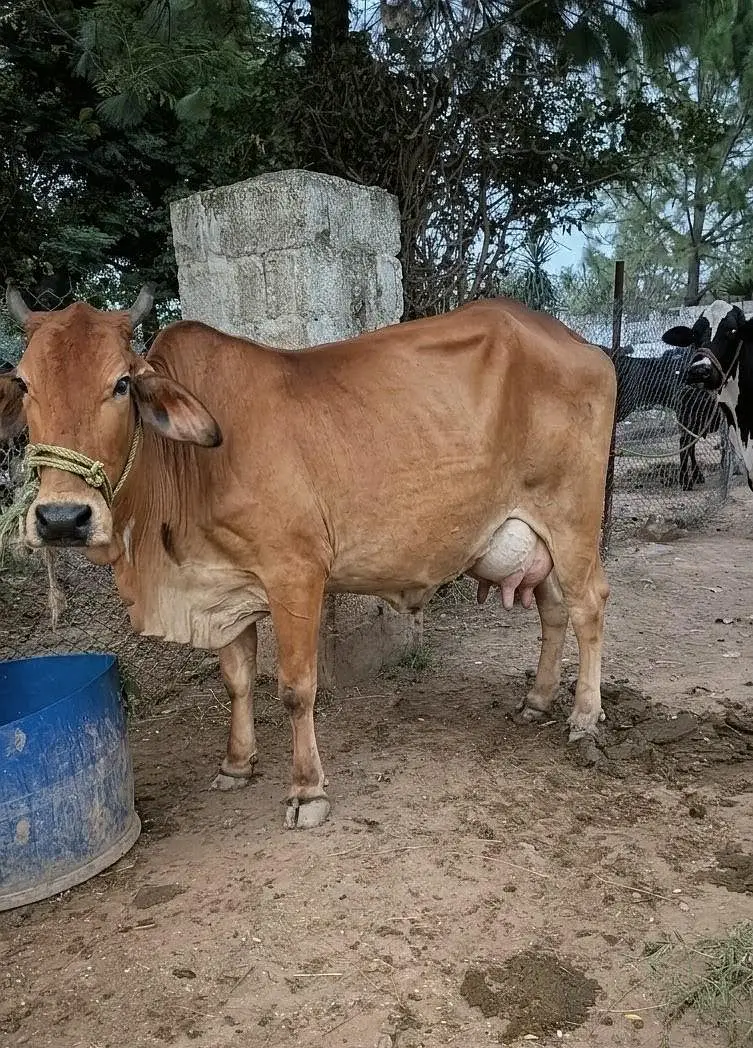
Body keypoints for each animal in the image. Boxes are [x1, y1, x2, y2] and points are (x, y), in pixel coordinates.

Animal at [0, 285, 616, 829]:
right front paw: (236, 764)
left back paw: (584, 721)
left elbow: (296, 688)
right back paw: (537, 700)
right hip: (538, 537)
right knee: (553, 609)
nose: (62, 518)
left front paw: (306, 790)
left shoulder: (294, 573)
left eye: (122, 383)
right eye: (25, 383)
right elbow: (237, 679)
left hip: (573, 522)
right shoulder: (223, 584)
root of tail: (577, 341)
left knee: (589, 608)